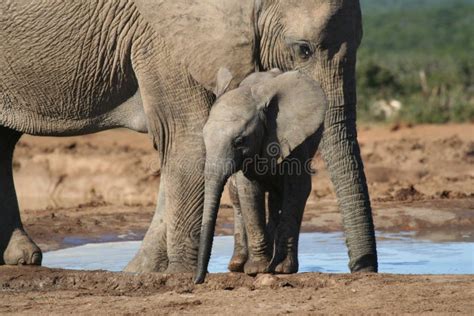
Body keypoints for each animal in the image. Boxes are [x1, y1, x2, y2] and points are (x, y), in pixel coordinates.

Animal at [194, 67, 328, 284]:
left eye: (239, 141)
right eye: (204, 137)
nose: (199, 279)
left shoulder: (294, 140)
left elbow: (297, 191)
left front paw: (282, 269)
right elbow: (248, 191)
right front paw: (256, 269)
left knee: (277, 198)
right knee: (238, 198)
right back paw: (238, 265)